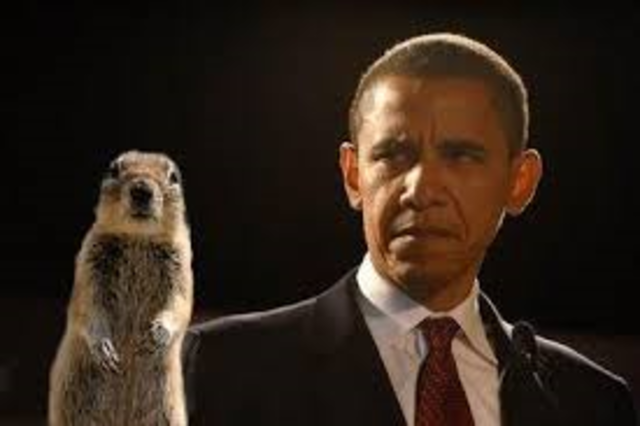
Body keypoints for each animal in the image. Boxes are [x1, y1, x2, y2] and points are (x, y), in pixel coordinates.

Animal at [48, 150, 194, 426]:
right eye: (113, 170)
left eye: (174, 177)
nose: (141, 189)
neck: (139, 238)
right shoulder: (90, 260)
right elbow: (88, 304)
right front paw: (104, 349)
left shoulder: (181, 263)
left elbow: (178, 302)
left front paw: (157, 335)